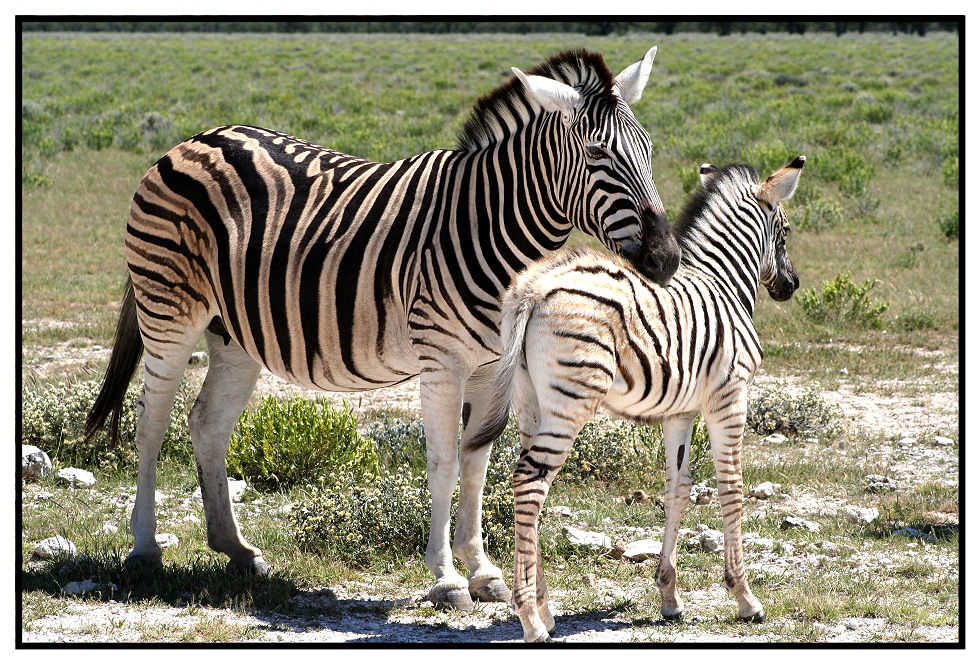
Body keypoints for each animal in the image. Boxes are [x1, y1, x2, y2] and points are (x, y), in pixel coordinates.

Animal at [84, 48, 680, 612]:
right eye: (598, 155)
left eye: (649, 150)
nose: (667, 258)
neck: (489, 224)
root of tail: (194, 139)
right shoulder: (442, 360)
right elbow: (442, 460)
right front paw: (446, 577)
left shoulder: (490, 366)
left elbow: (477, 460)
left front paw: (483, 570)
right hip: (169, 310)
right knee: (150, 420)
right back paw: (145, 549)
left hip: (233, 335)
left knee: (206, 422)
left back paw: (236, 549)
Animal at [472, 158, 804, 640]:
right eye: (786, 230)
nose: (791, 285)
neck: (722, 283)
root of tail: (533, 287)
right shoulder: (730, 396)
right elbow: (731, 488)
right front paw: (745, 598)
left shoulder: (680, 412)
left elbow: (678, 489)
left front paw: (669, 596)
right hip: (571, 400)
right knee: (530, 481)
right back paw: (531, 620)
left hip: (532, 401)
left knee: (532, 489)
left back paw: (544, 609)